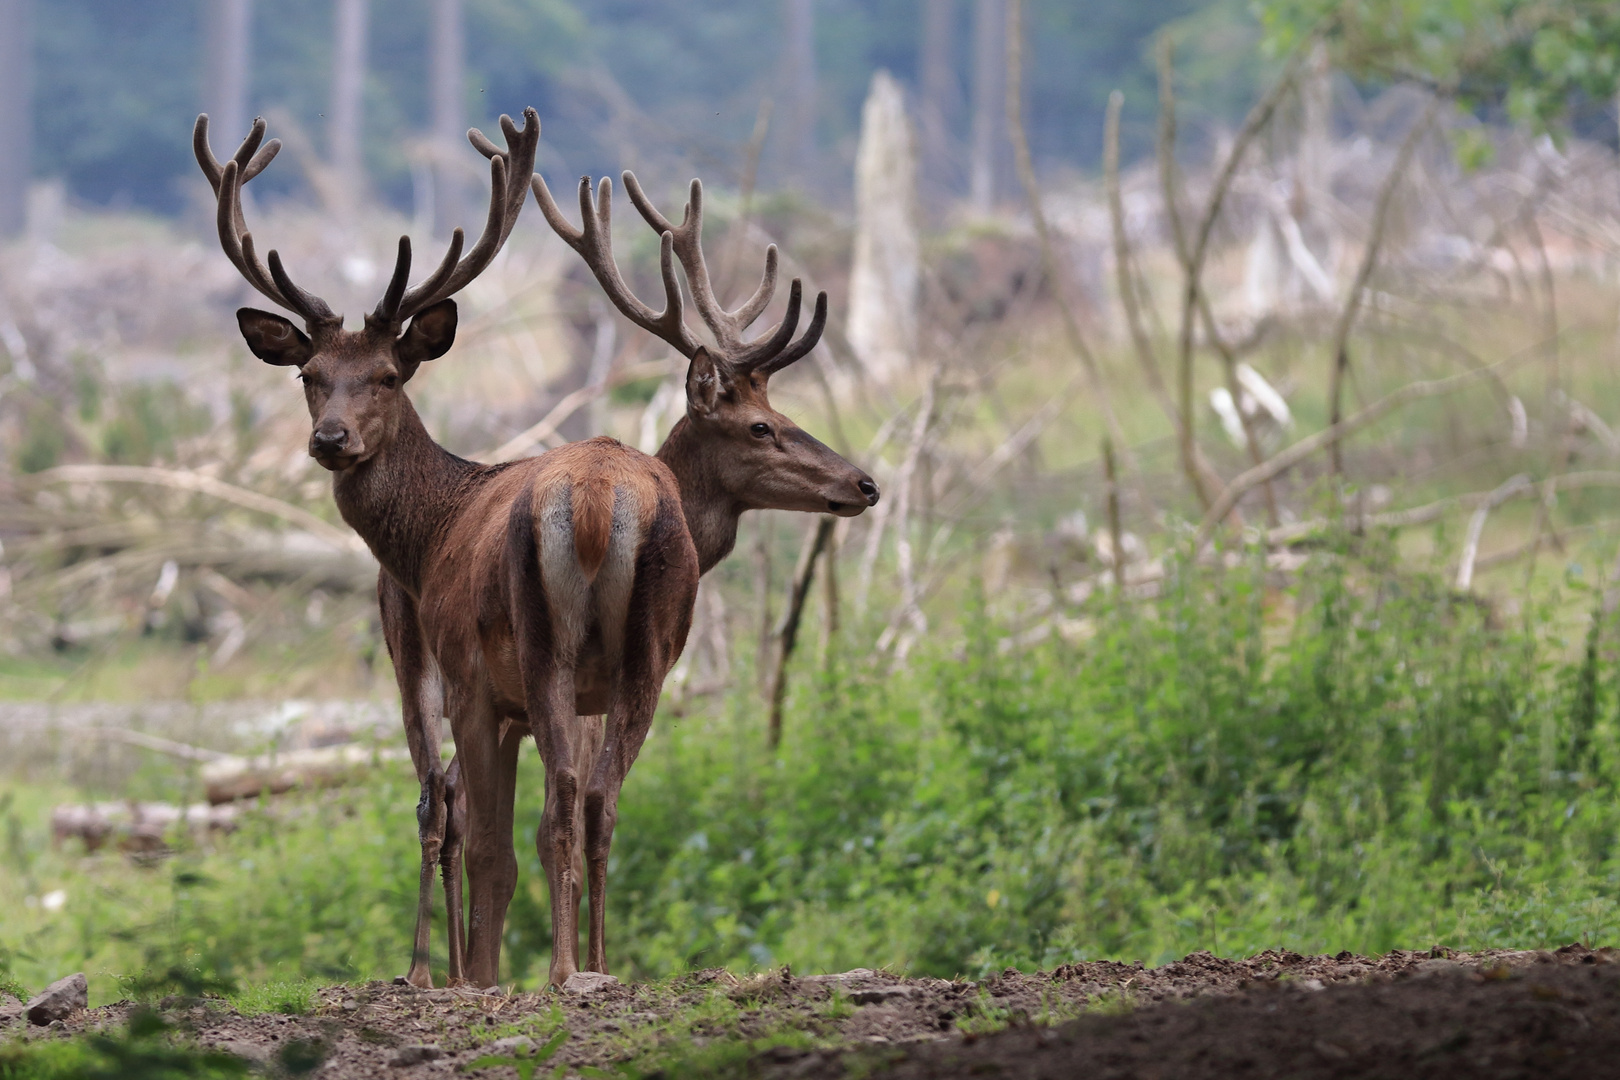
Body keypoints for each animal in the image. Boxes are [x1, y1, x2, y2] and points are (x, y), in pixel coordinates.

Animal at [196, 110, 881, 990]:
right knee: (571, 800)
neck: (433, 528)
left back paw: (491, 971)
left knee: (481, 802)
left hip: (511, 649)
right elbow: (534, 823)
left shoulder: (480, 682)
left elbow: (496, 839)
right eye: (309, 375)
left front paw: (486, 975)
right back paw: (550, 969)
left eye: (387, 376)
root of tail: (596, 503)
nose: (862, 482)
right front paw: (520, 967)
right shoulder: (524, 692)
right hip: (601, 650)